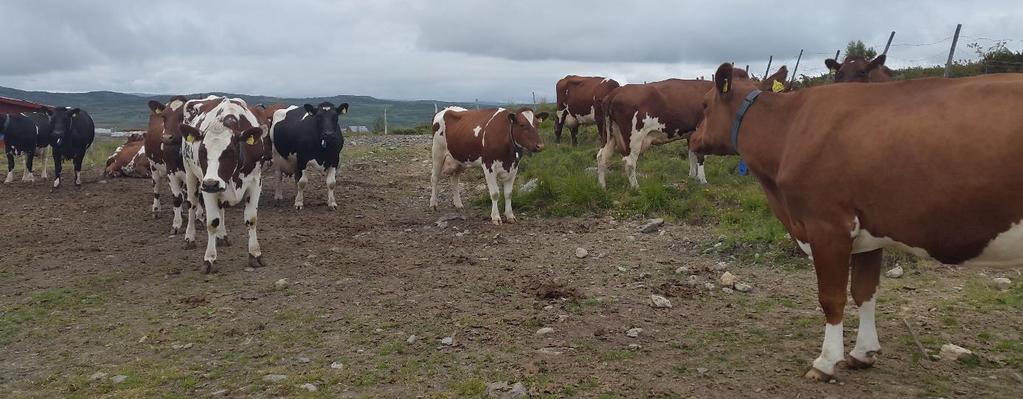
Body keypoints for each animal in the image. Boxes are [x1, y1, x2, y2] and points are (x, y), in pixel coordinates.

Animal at [145, 96, 191, 232]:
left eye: (183, 116)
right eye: (164, 117)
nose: (167, 138)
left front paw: (199, 216)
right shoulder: (171, 171)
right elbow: (177, 198)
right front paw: (176, 224)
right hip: (154, 166)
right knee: (157, 187)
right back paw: (156, 210)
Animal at [179, 95, 268, 272]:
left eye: (230, 151)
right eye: (202, 151)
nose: (212, 183)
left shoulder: (256, 181)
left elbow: (251, 219)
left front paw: (255, 254)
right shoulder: (206, 184)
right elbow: (212, 222)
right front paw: (209, 259)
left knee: (221, 209)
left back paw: (222, 236)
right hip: (190, 173)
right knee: (192, 205)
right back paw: (190, 238)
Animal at [687, 61, 1023, 380]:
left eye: (704, 104)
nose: (692, 138)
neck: (789, 130)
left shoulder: (827, 225)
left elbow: (831, 297)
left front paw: (825, 361)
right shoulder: (869, 234)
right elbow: (865, 292)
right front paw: (864, 352)